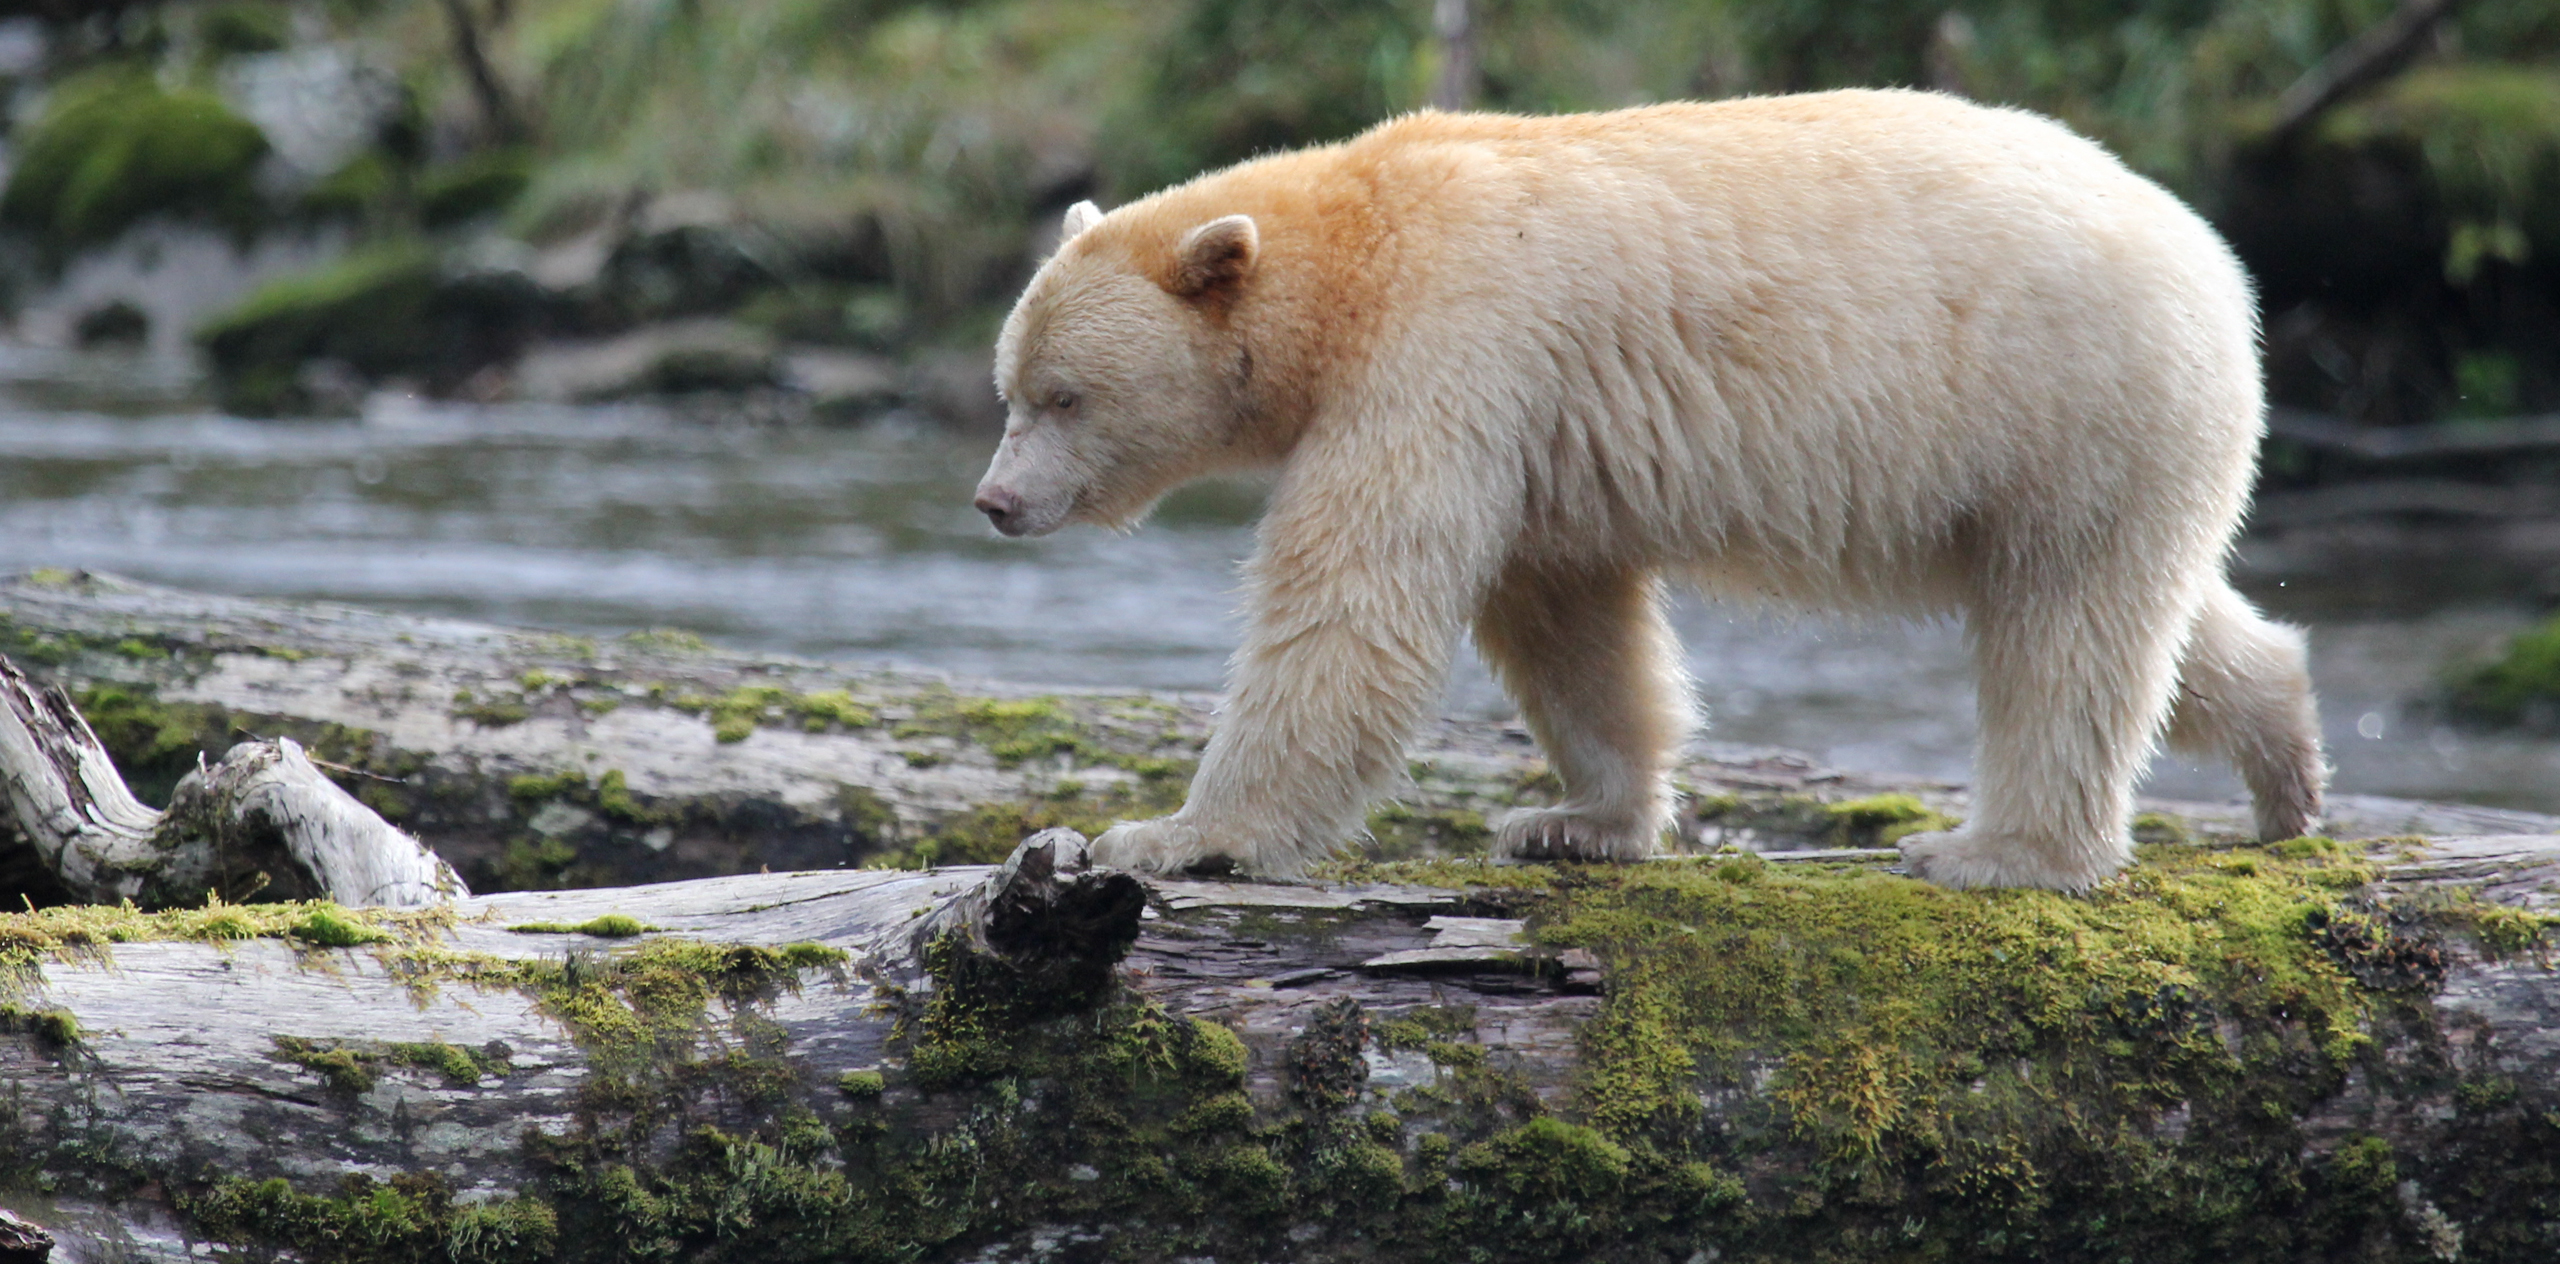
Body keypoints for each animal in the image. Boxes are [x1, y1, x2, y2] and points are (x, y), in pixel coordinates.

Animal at [967, 88, 2334, 890]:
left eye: (1062, 397)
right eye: (1008, 386)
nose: (993, 502)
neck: (1354, 248)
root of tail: (2215, 262)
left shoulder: (1450, 342)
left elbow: (1356, 600)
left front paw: (1175, 833)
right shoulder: (1530, 422)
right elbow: (1562, 612)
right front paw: (1575, 817)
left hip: (2066, 399)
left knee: (2067, 630)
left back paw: (1994, 850)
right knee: (2152, 613)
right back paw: (2284, 764)